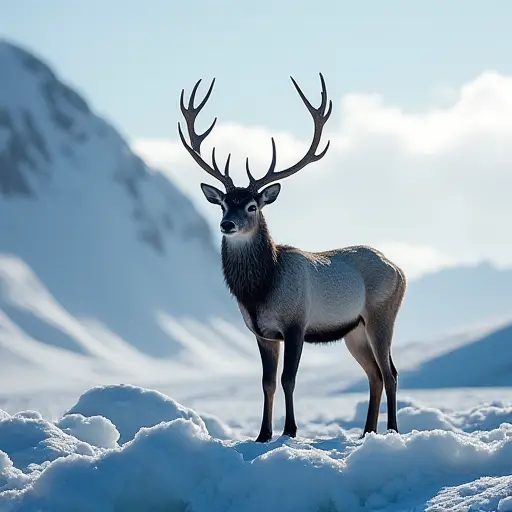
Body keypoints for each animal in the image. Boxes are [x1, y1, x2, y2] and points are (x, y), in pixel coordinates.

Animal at [178, 73, 406, 444]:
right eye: (223, 203)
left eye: (252, 206)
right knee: (373, 373)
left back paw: (392, 430)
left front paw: (290, 430)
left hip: (382, 314)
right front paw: (262, 434)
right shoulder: (261, 332)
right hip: (354, 331)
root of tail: (399, 269)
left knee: (391, 372)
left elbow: (288, 379)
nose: (227, 224)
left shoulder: (297, 323)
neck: (260, 291)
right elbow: (267, 382)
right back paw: (367, 431)